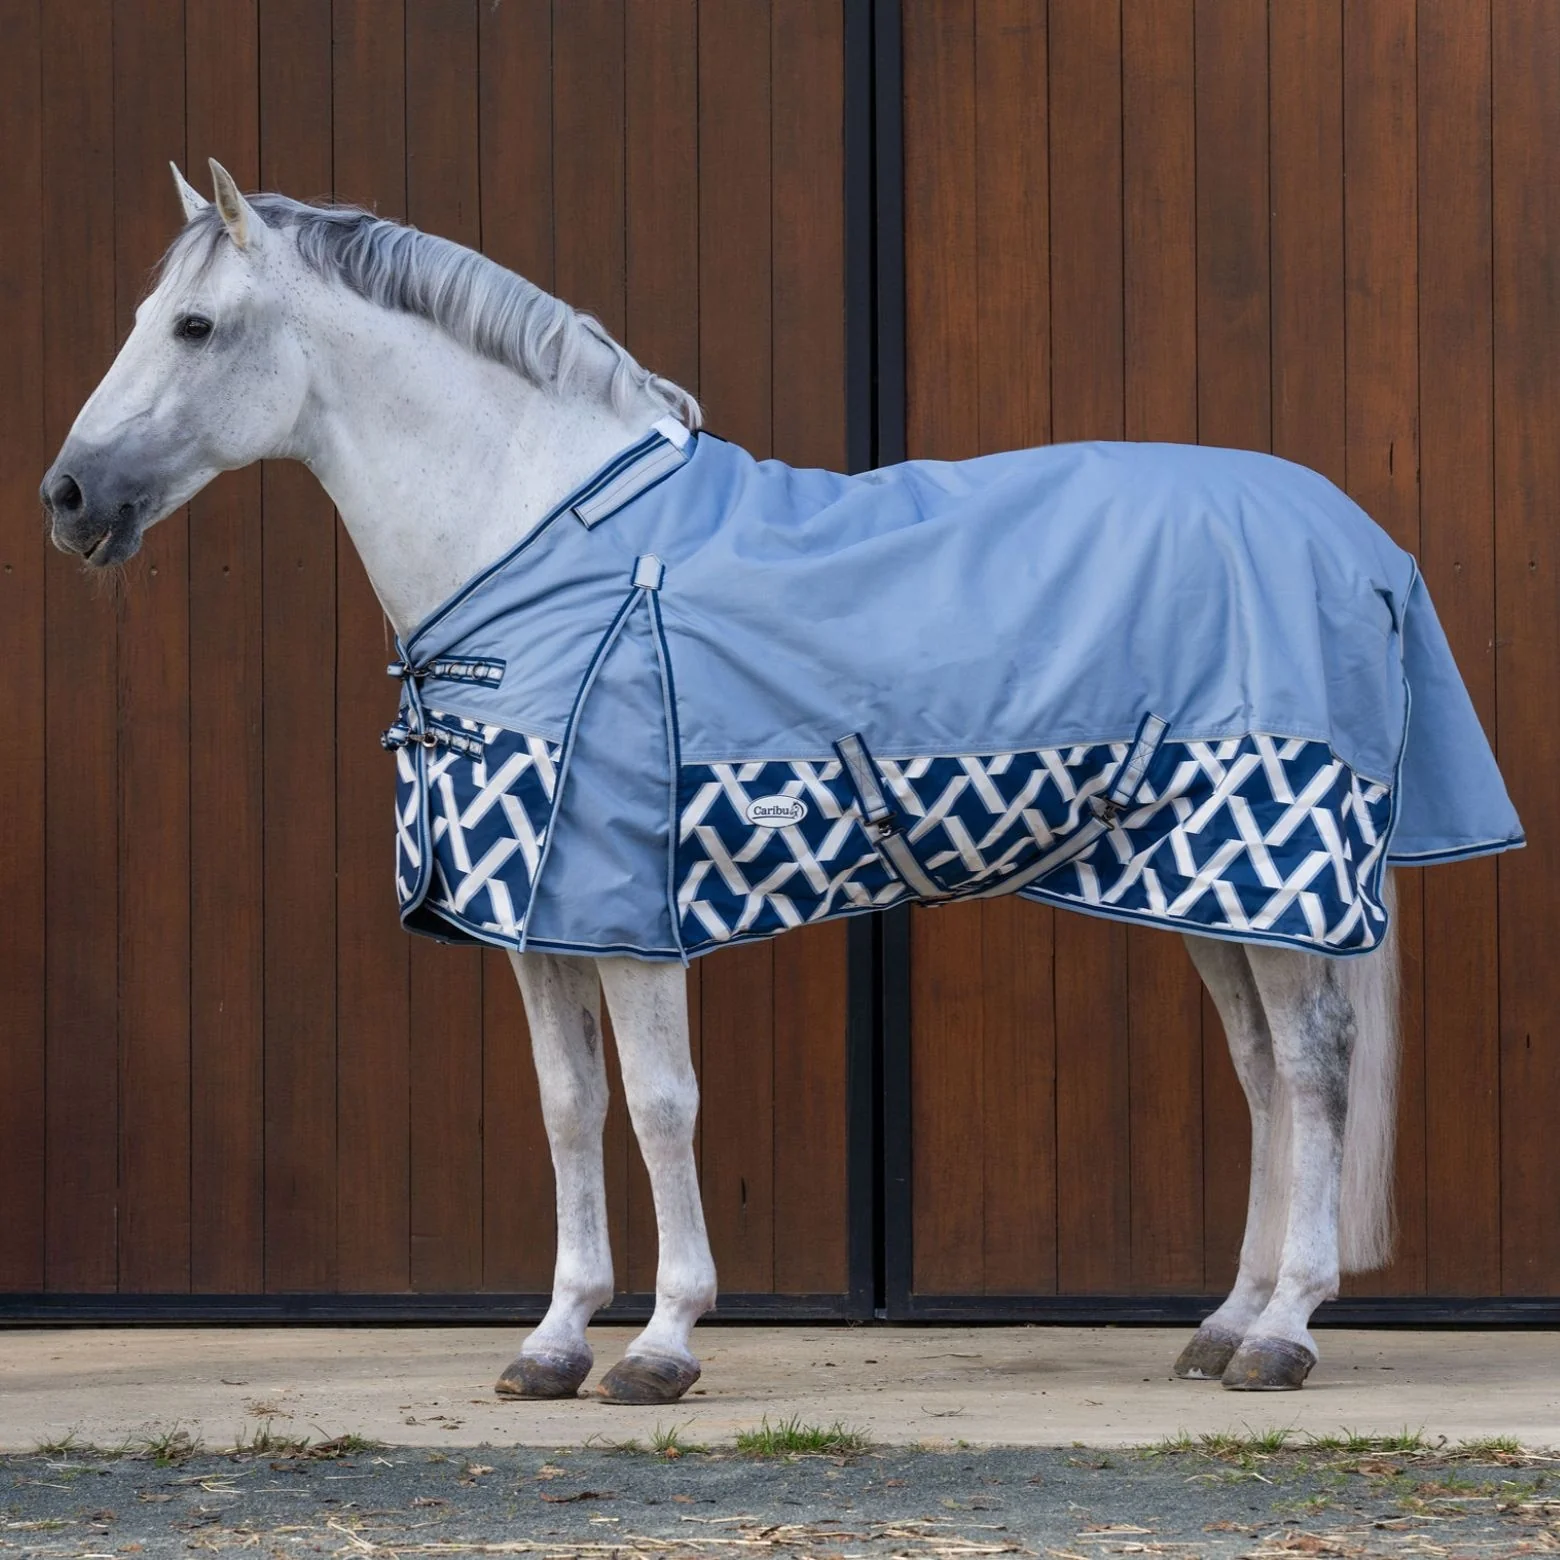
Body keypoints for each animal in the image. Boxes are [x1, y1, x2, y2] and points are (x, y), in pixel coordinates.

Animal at [40, 162, 1521, 1402]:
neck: (546, 545)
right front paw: (552, 1344)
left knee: (1316, 1073)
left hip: (1281, 871)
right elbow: (571, 1111)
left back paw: (1285, 1335)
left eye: (195, 328)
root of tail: (1362, 543)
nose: (67, 499)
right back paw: (1226, 1322)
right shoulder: (538, 923)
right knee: (1267, 1077)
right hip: (1205, 884)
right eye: (145, 313)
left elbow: (662, 1106)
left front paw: (661, 1345)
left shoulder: (625, 915)